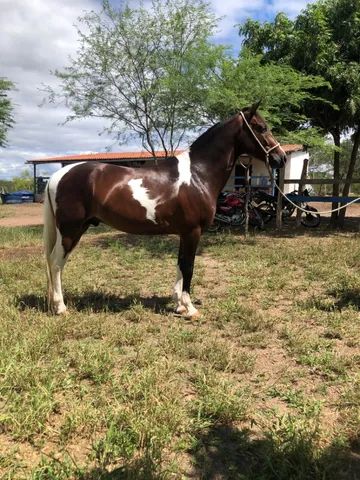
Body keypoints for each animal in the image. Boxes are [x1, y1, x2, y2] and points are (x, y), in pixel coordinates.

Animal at [44, 103, 286, 316]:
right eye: (261, 127)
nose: (281, 158)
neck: (198, 173)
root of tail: (58, 175)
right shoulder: (193, 232)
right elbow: (188, 267)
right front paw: (190, 308)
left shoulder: (184, 233)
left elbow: (180, 264)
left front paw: (179, 305)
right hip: (70, 230)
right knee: (56, 263)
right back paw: (61, 307)